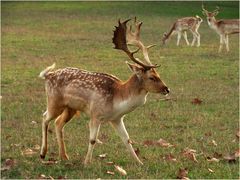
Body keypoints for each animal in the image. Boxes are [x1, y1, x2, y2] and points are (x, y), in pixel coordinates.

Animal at [39, 17, 170, 165]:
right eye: (152, 77)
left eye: (158, 74)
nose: (167, 89)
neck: (118, 98)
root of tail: (47, 75)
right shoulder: (95, 114)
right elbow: (92, 139)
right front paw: (86, 163)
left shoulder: (117, 119)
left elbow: (127, 139)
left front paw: (140, 163)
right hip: (54, 101)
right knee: (45, 117)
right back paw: (43, 153)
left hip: (70, 108)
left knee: (58, 123)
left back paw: (64, 156)